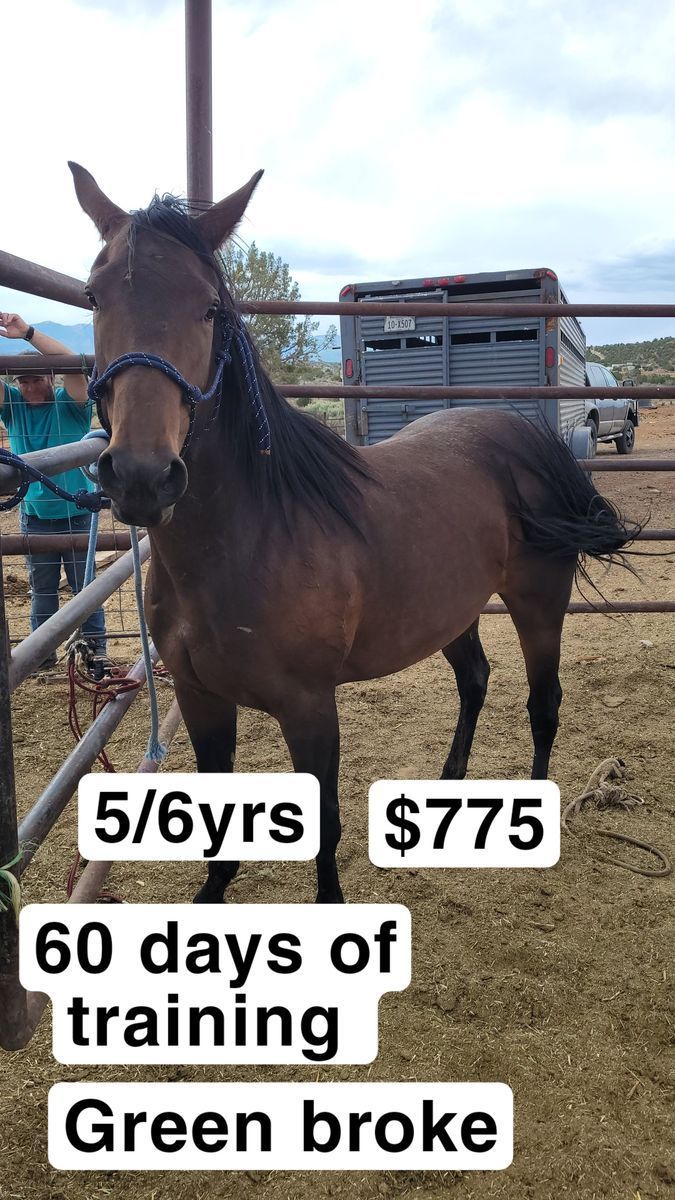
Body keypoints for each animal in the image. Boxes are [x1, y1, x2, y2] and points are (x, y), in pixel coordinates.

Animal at [69, 163, 637, 904]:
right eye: (92, 296)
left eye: (210, 308)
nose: (142, 475)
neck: (245, 541)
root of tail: (525, 434)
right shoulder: (200, 699)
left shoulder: (309, 707)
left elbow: (326, 822)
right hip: (448, 609)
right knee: (476, 680)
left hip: (539, 603)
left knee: (544, 704)